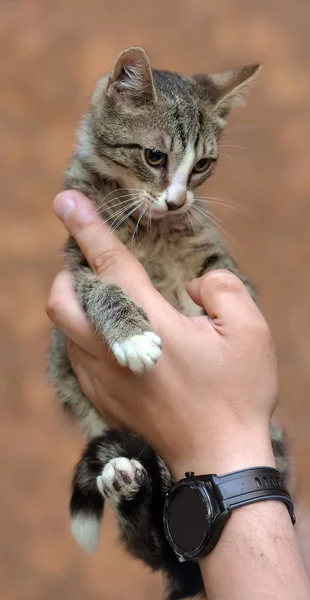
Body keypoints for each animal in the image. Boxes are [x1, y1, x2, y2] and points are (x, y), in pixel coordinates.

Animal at [48, 48, 288, 600]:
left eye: (201, 165)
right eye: (154, 157)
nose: (177, 200)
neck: (152, 230)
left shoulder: (211, 256)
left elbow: (233, 282)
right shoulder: (78, 264)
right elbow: (99, 288)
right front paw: (133, 335)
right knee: (153, 541)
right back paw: (125, 481)